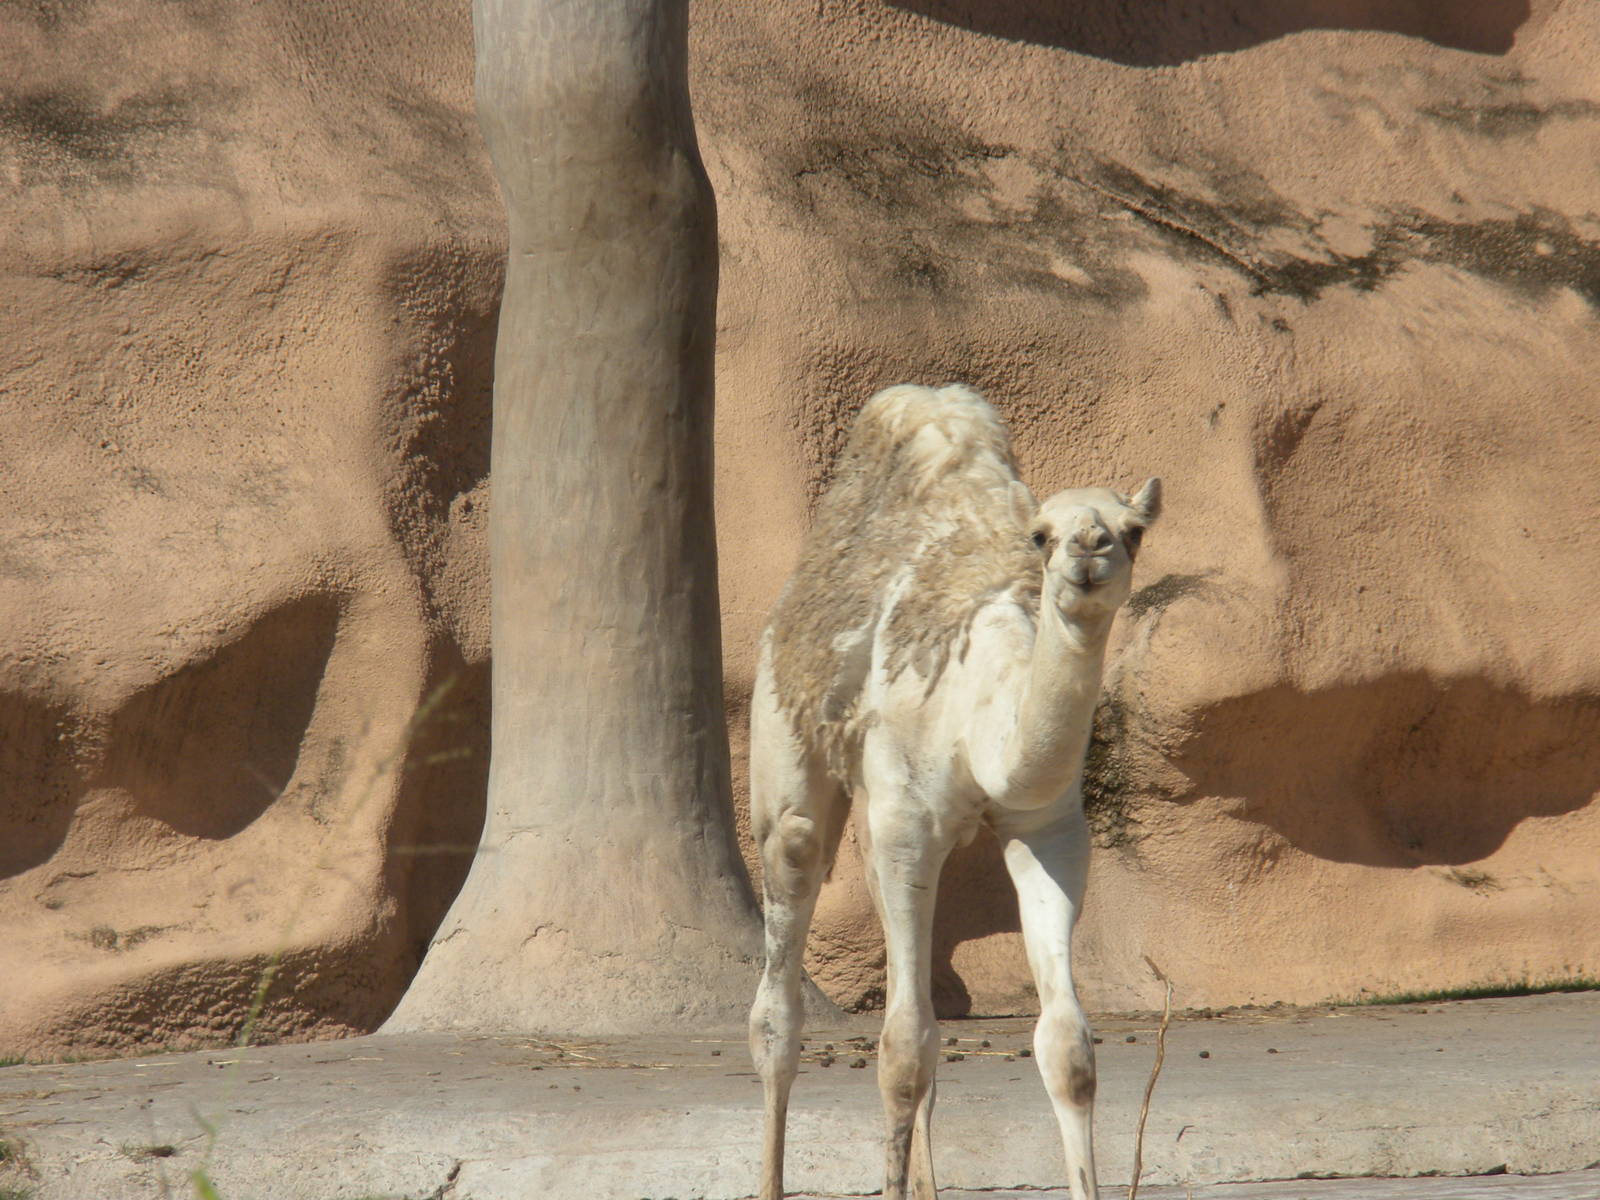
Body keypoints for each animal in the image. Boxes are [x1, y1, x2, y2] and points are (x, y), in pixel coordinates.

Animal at [747, 383, 1161, 1200]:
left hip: (874, 824)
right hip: (786, 755)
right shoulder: (910, 824)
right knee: (780, 1001)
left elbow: (1067, 1049)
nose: (1088, 550)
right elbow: (903, 1049)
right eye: (1040, 534)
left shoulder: (1049, 827)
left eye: (1133, 530)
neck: (985, 716)